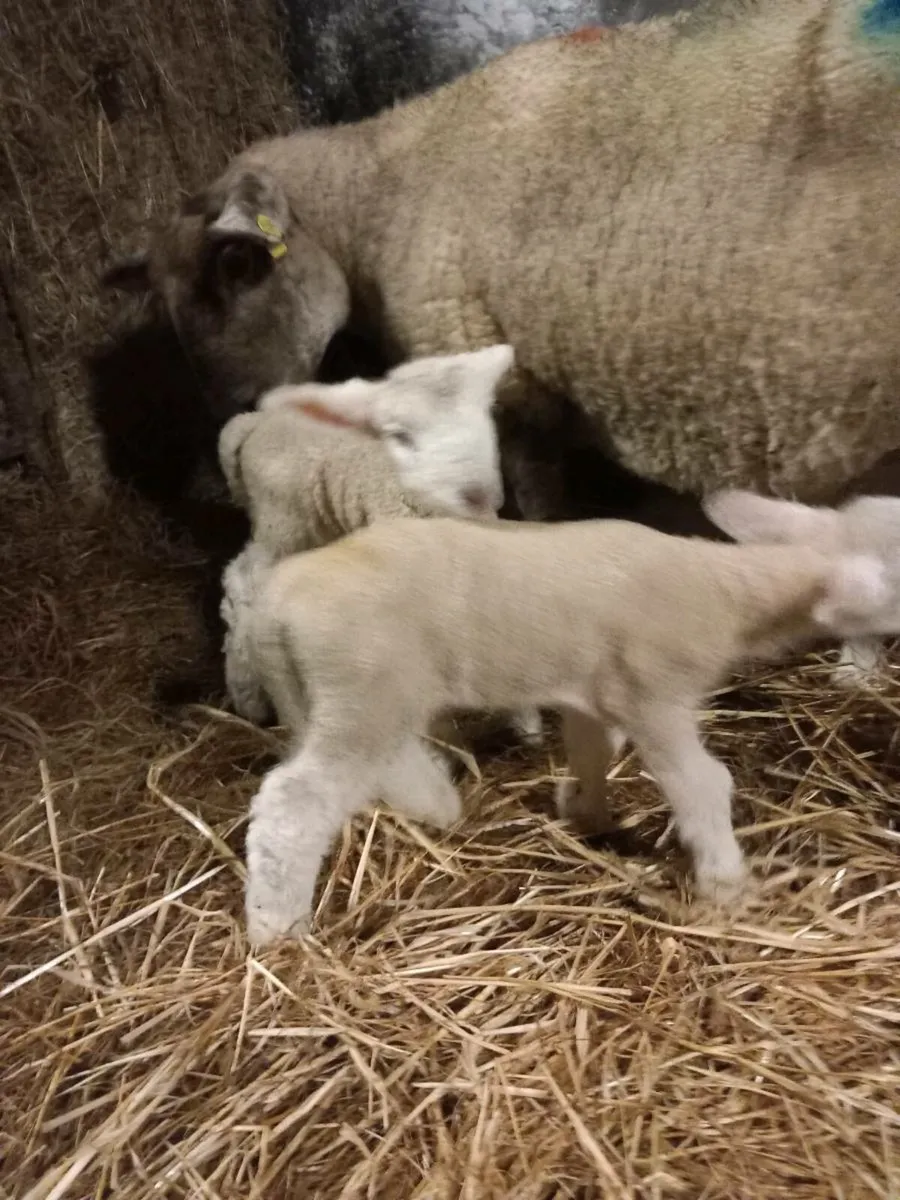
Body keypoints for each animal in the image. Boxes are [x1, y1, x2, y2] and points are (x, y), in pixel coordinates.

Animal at [218, 343, 544, 744]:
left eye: (484, 418)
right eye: (401, 436)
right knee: (243, 583)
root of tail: (253, 421)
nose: (477, 491)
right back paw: (248, 695)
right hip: (283, 524)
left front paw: (528, 723)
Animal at [240, 488, 900, 946]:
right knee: (296, 801)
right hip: (366, 686)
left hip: (348, 694)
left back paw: (435, 804)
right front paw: (727, 883)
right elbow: (702, 784)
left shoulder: (598, 691)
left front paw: (586, 812)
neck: (724, 591)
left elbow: (593, 749)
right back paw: (277, 927)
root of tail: (279, 597)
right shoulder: (654, 694)